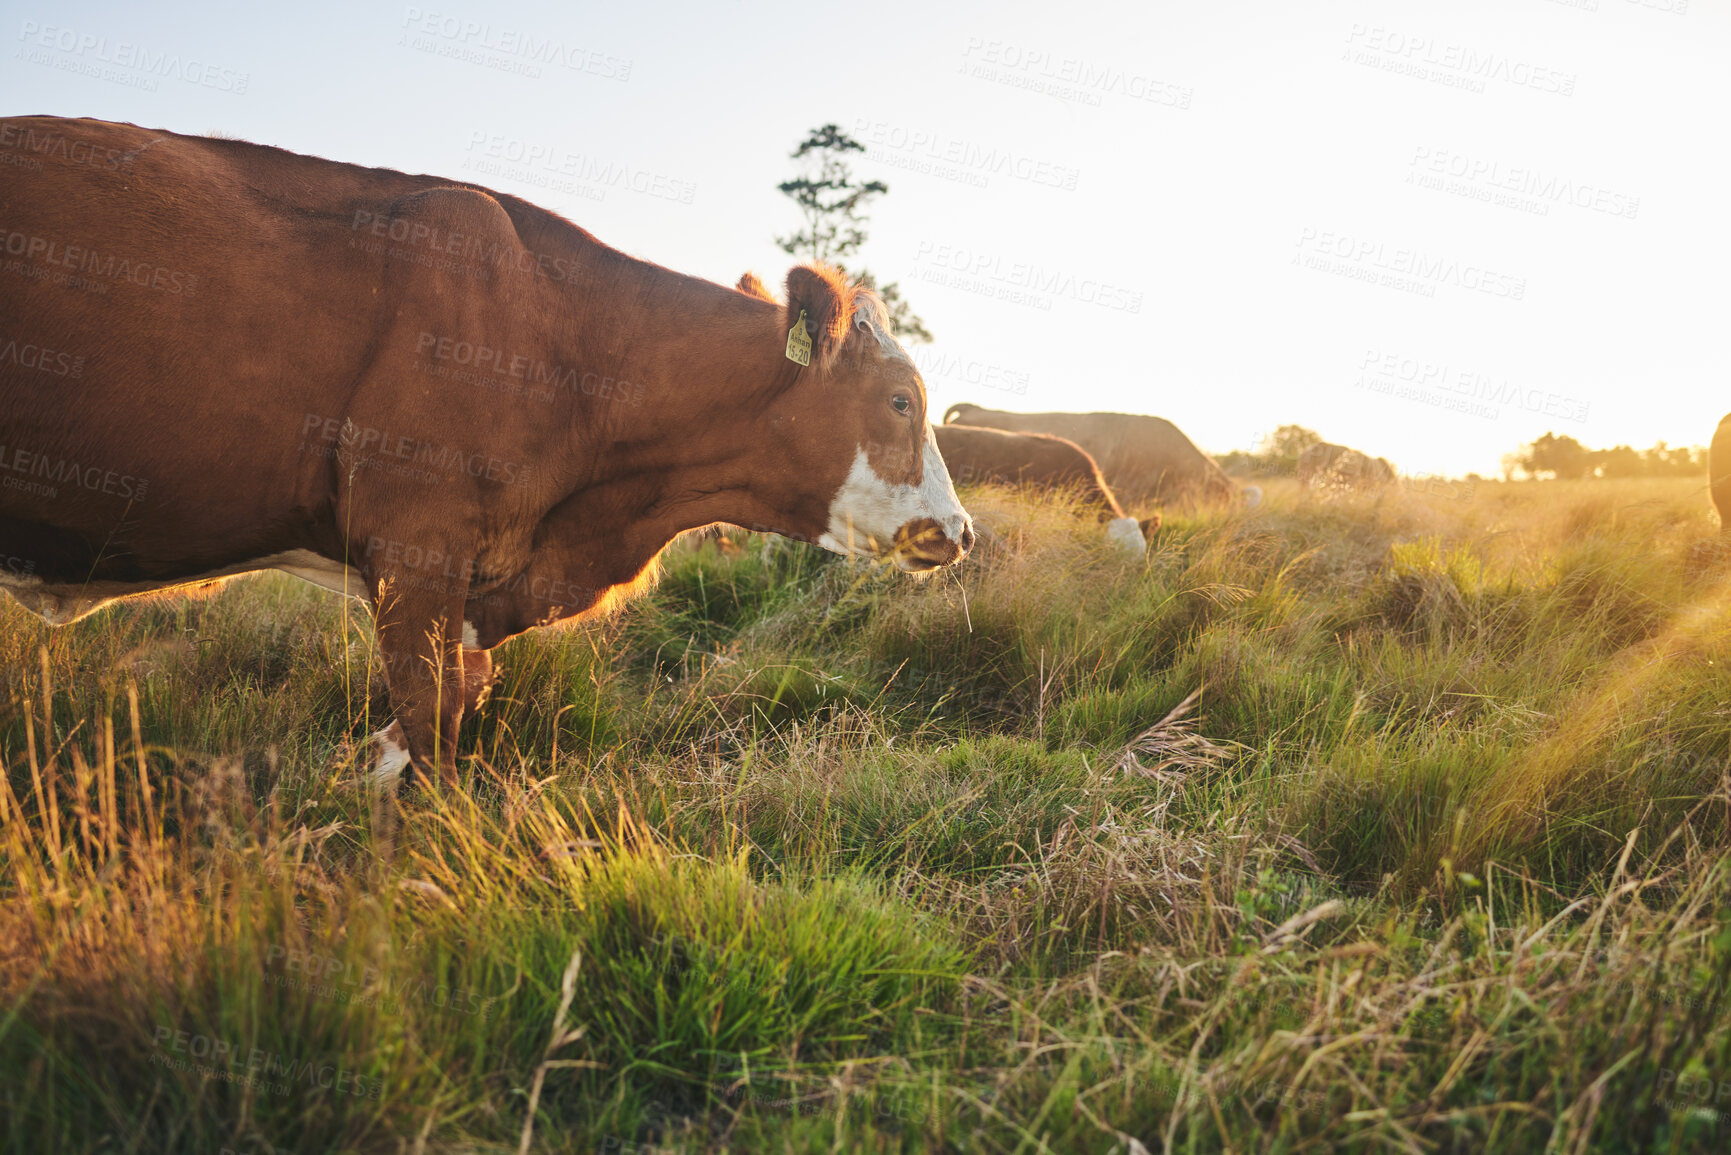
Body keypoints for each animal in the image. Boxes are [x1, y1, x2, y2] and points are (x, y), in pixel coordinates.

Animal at [0, 115, 976, 786]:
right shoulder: (417, 547)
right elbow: (432, 714)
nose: (961, 530)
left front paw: (359, 772)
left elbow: (451, 699)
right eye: (900, 400)